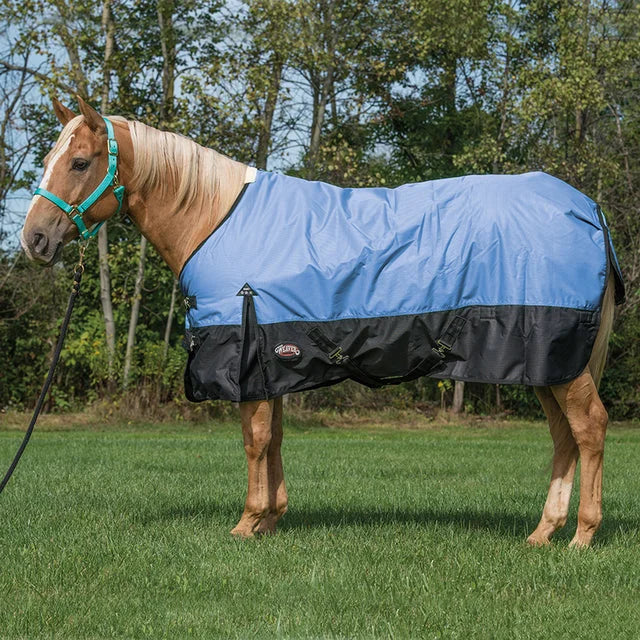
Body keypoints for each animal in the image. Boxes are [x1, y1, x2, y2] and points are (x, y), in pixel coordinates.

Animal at [20, 97, 623, 547]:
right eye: (47, 158)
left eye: (80, 162)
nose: (34, 240)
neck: (214, 217)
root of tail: (588, 208)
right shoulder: (273, 359)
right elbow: (275, 438)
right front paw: (271, 518)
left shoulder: (247, 353)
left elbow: (255, 440)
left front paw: (246, 523)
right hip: (547, 364)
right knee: (563, 437)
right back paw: (543, 532)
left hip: (560, 358)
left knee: (589, 428)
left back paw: (581, 536)